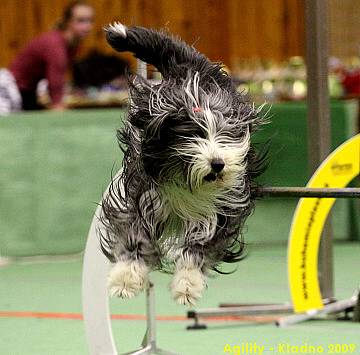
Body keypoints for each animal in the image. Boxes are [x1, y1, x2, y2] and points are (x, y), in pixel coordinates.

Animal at [100, 22, 266, 306]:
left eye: (225, 134)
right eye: (194, 135)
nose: (218, 164)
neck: (187, 181)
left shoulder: (219, 211)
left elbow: (198, 248)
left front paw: (187, 285)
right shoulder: (145, 198)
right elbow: (135, 238)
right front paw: (125, 279)